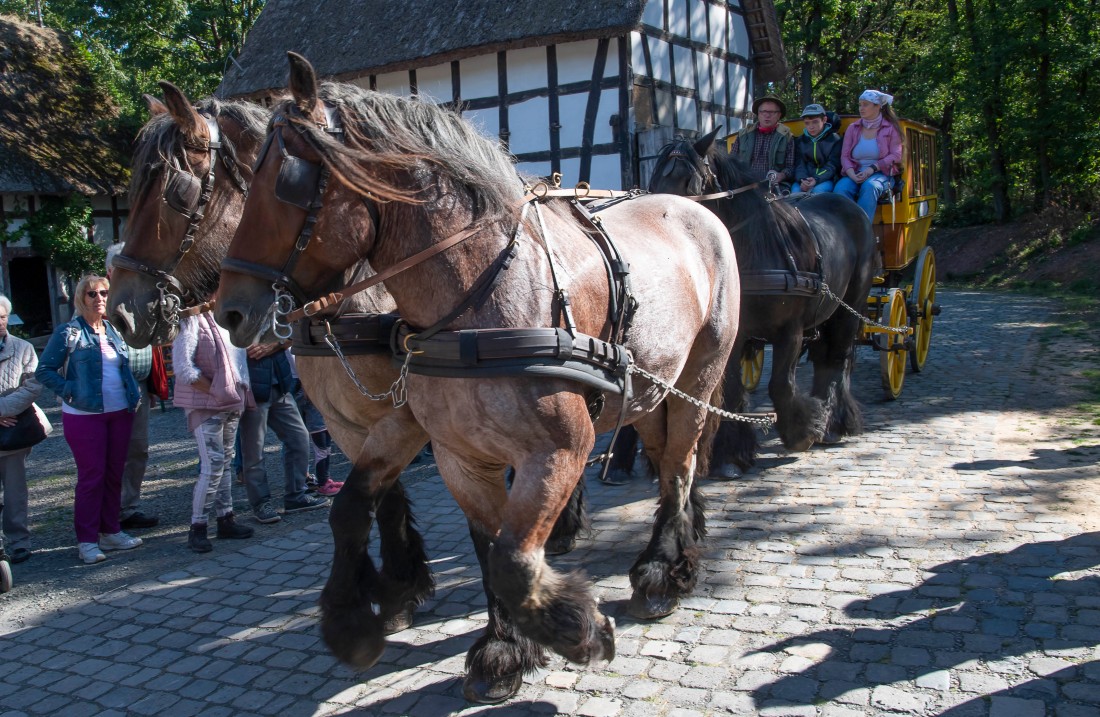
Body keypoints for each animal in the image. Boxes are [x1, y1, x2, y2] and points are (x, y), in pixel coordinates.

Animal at [105, 79, 435, 642]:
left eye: (176, 193)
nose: (121, 312)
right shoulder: (350, 423)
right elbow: (384, 497)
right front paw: (400, 592)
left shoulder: (412, 415)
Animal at [214, 53, 739, 703]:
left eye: (285, 181)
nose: (229, 311)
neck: (479, 301)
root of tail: (696, 210)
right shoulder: (456, 454)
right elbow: (479, 547)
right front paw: (492, 648)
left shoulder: (559, 450)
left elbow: (514, 562)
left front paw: (576, 629)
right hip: (650, 389)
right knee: (668, 459)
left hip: (701, 374)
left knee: (678, 468)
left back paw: (662, 572)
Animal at [611, 130, 875, 475]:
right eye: (653, 178)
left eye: (688, 181)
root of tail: (848, 205)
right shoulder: (733, 336)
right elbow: (733, 391)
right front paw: (731, 455)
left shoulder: (790, 331)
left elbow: (780, 385)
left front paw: (803, 432)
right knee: (824, 359)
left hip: (849, 308)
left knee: (837, 360)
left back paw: (834, 423)